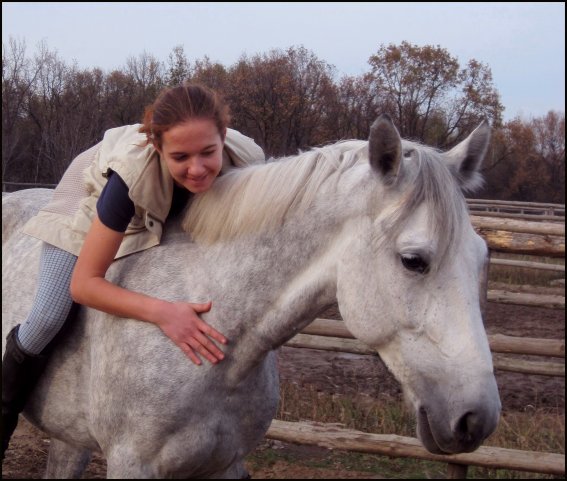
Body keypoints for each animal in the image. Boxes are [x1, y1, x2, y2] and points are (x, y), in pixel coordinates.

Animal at [2, 114, 501, 478]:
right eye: (413, 260)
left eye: (481, 257)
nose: (476, 418)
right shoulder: (132, 464)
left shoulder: (224, 463)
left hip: (70, 439)